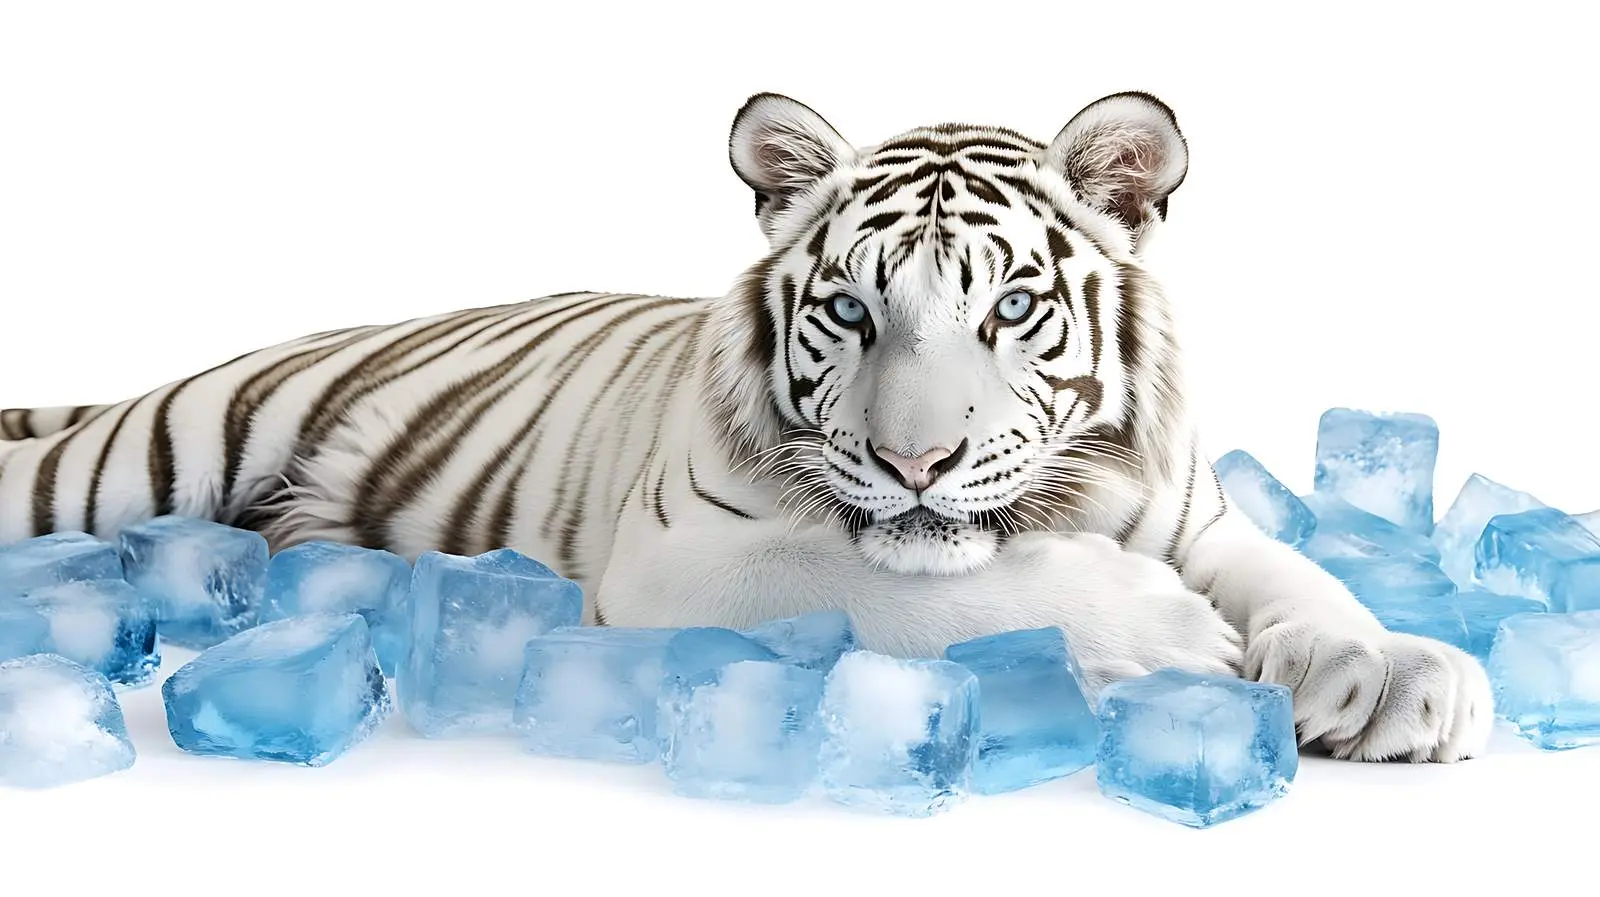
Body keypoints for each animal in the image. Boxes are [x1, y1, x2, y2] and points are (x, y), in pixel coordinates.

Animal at [0, 90, 1491, 763]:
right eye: (848, 309)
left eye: (1012, 305)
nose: (915, 460)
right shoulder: (684, 556)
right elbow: (902, 585)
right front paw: (1169, 638)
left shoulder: (1202, 513)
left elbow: (1303, 580)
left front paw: (1392, 673)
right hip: (147, 450)